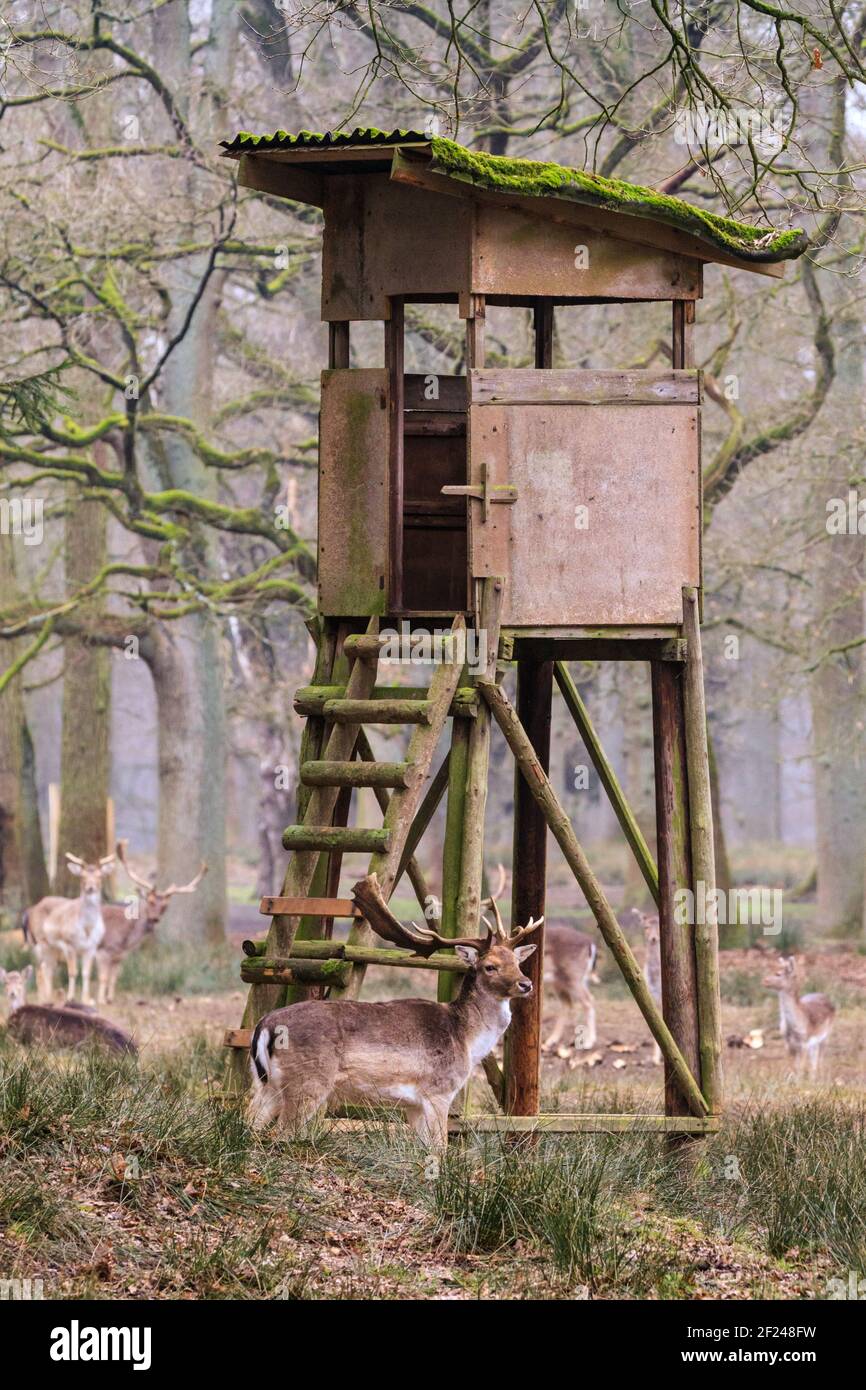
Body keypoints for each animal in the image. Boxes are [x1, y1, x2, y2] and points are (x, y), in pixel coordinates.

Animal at [24, 850, 115, 1006]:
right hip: (41, 942)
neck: (87, 928)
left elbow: (86, 973)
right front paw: (71, 997)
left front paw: (87, 1000)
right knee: (41, 969)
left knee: (47, 969)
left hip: (53, 948)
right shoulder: (69, 944)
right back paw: (44, 999)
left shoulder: (91, 947)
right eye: (82, 876)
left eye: (100, 876)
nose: (90, 888)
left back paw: (48, 998)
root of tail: (33, 909)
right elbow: (73, 972)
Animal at [97, 834, 208, 1000]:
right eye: (150, 901)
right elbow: (103, 978)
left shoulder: (119, 956)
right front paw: (100, 1000)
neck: (125, 939)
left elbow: (113, 978)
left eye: (165, 906)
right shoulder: (104, 950)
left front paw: (109, 998)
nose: (155, 919)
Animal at [246, 867, 542, 1150]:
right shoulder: (438, 1090)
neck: (466, 1041)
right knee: (282, 1132)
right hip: (308, 1081)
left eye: (517, 962)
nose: (526, 984)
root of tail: (264, 1026)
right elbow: (441, 1148)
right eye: (490, 966)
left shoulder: (413, 1105)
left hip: (266, 1085)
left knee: (248, 1125)